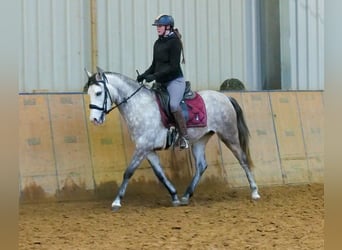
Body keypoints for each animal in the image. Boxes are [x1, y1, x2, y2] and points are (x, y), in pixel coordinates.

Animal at [83, 67, 260, 211]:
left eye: (98, 93)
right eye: (89, 93)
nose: (94, 120)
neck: (139, 106)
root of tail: (225, 97)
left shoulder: (142, 147)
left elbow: (129, 172)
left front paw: (116, 202)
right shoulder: (148, 150)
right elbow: (160, 174)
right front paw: (174, 196)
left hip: (229, 136)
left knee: (243, 159)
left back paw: (255, 192)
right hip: (199, 140)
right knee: (201, 166)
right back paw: (186, 195)